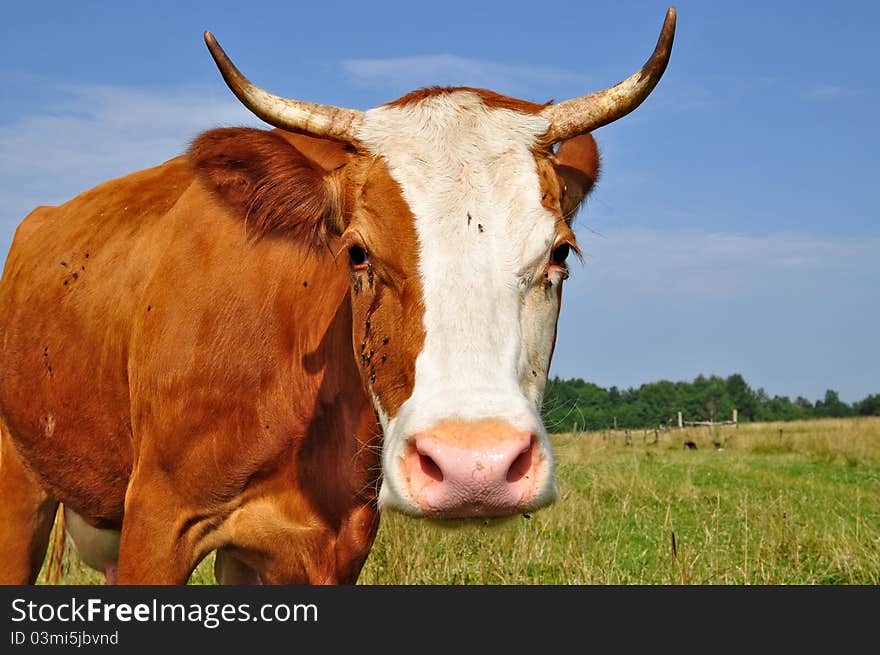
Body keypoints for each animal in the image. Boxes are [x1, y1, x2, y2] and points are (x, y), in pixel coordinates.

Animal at [0, 9, 676, 584]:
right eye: (357, 252)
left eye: (560, 252)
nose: (473, 467)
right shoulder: (158, 522)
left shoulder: (332, 547)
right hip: (20, 486)